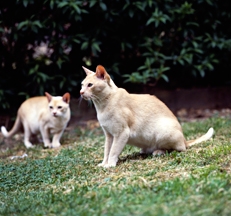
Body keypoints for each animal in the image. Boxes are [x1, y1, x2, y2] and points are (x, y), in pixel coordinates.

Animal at [80, 65, 214, 168]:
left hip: (163, 133)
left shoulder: (121, 133)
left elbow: (113, 151)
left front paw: (110, 165)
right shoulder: (109, 135)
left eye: (90, 85)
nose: (80, 92)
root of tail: (185, 140)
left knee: (180, 148)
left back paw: (158, 151)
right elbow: (107, 151)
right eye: (82, 85)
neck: (102, 106)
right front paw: (104, 163)